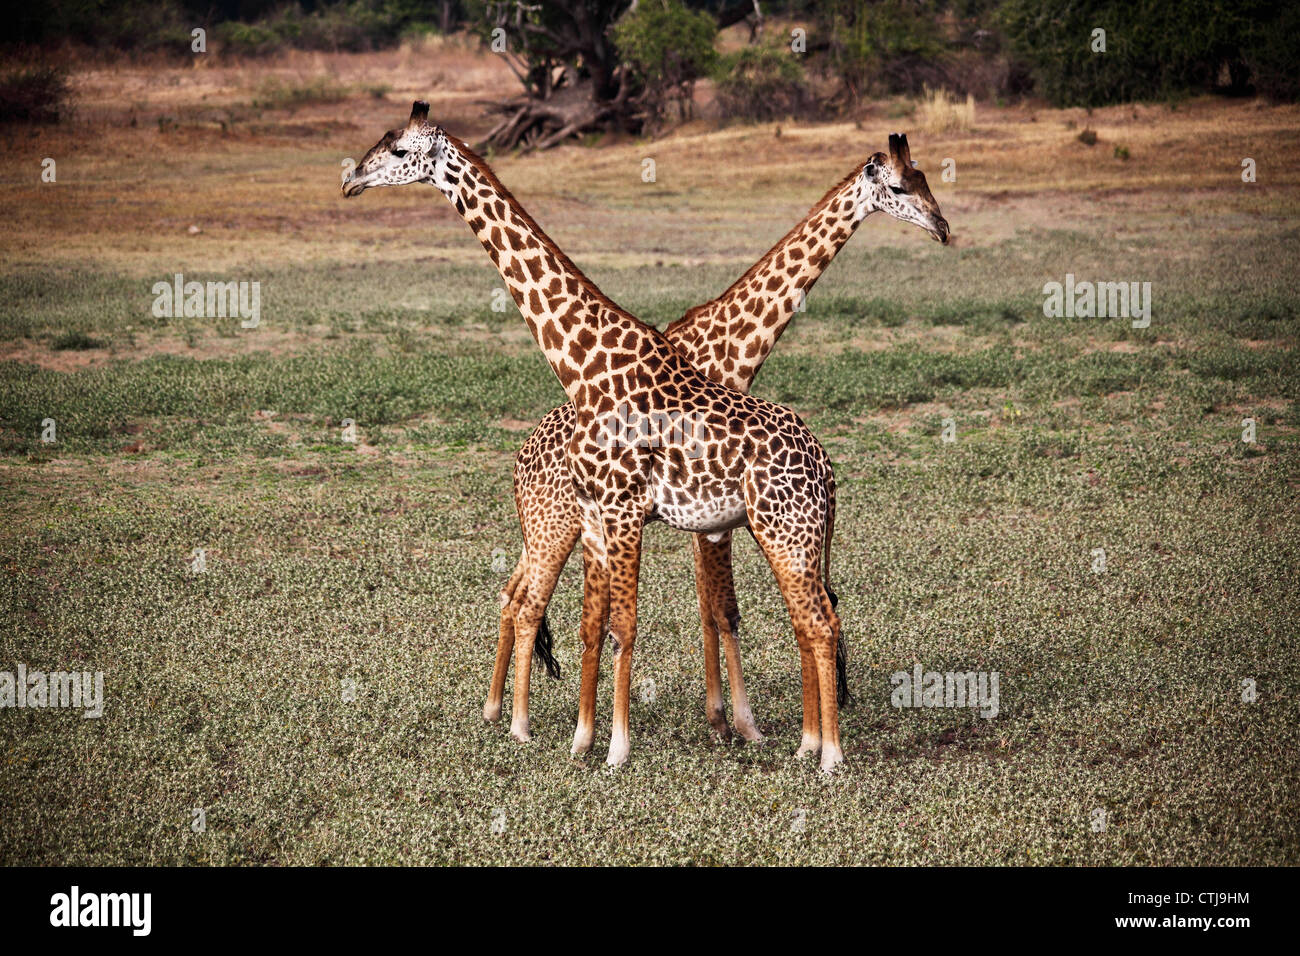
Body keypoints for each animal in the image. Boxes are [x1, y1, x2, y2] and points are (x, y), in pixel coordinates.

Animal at [345, 100, 868, 770]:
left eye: (400, 151)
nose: (351, 179)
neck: (587, 365)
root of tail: (827, 467)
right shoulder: (609, 516)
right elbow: (609, 623)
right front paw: (588, 738)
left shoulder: (627, 511)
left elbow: (641, 622)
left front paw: (621, 745)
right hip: (753, 533)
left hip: (781, 531)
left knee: (817, 622)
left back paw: (826, 755)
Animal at [486, 136, 946, 749]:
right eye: (900, 186)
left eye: (926, 180)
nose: (942, 227)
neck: (736, 345)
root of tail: (519, 459)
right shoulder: (705, 505)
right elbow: (716, 609)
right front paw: (732, 722)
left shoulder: (708, 507)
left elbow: (713, 608)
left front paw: (727, 719)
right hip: (556, 526)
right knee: (528, 602)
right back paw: (517, 720)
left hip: (546, 529)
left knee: (512, 595)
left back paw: (495, 711)